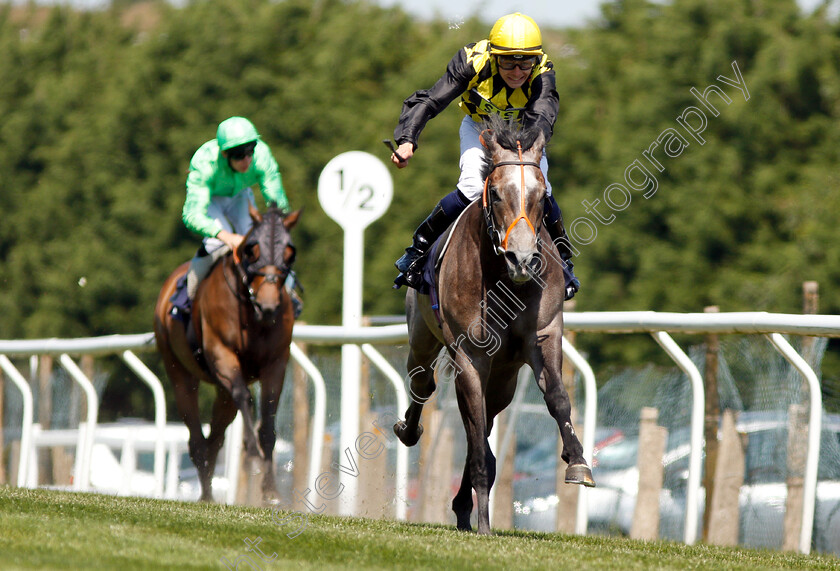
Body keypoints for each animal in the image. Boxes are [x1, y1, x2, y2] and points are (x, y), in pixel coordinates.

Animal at [153, 206, 300, 504]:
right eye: (252, 250)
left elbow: (267, 421)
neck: (252, 316)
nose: (269, 306)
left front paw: (270, 490)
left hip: (222, 390)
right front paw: (252, 455)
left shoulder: (276, 363)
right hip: (180, 371)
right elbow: (245, 397)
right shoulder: (222, 355)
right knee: (197, 438)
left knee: (215, 438)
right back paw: (206, 494)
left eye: (290, 252)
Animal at [398, 117, 592, 536]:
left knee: (484, 423)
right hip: (423, 338)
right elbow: (473, 431)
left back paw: (462, 504)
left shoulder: (544, 334)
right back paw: (409, 430)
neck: (504, 279)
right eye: (499, 195)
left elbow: (557, 397)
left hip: (504, 376)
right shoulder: (470, 356)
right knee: (425, 385)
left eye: (541, 197)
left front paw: (578, 462)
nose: (523, 259)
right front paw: (485, 523)